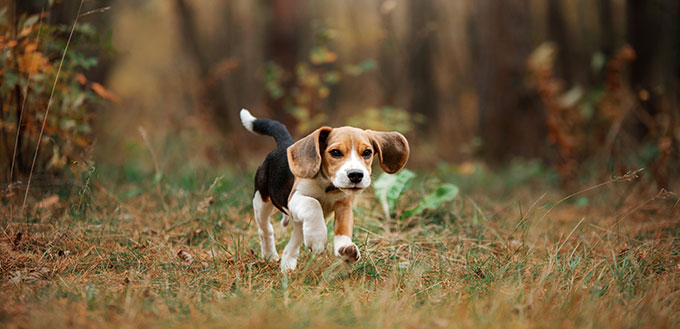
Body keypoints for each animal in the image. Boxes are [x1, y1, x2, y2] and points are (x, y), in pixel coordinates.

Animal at [239, 109, 410, 270]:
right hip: (261, 201)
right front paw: (318, 238)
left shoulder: (344, 204)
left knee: (294, 241)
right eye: (335, 152)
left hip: (297, 221)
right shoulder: (295, 198)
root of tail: (283, 145)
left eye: (367, 152)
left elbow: (343, 226)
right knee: (265, 229)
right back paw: (270, 255)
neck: (328, 186)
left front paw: (344, 247)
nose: (356, 175)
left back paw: (287, 265)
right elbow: (312, 204)